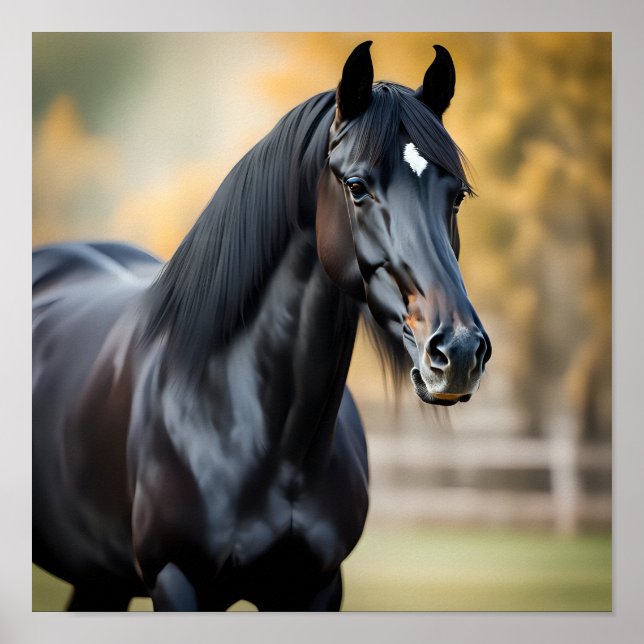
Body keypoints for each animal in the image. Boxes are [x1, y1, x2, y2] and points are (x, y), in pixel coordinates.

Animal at [32, 41, 491, 611]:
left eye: (458, 195)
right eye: (357, 186)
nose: (459, 352)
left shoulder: (316, 587)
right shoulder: (176, 581)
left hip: (100, 578)